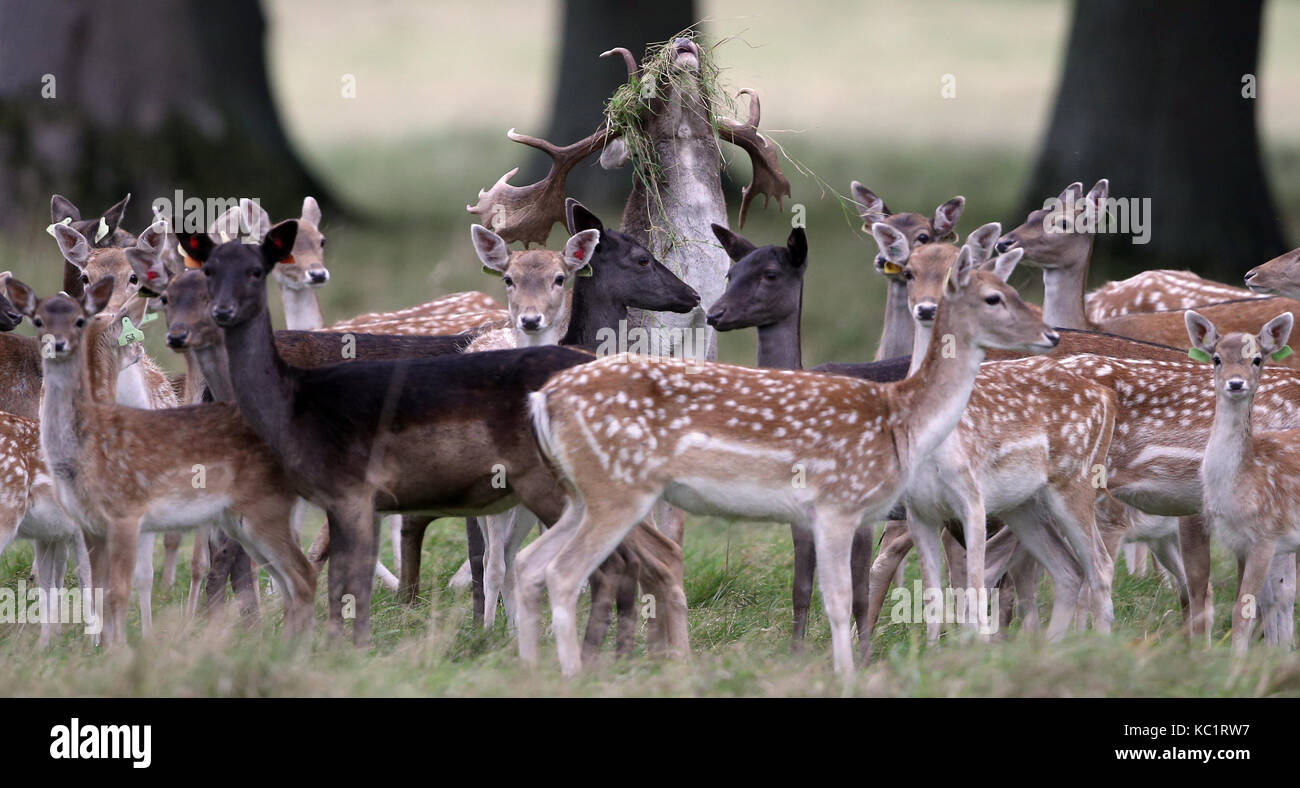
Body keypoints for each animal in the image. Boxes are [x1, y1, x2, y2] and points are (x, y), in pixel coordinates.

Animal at [522, 244, 1060, 676]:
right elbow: (836, 597)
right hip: (616, 490)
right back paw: (574, 674)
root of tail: (543, 399)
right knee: (563, 573)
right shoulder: (838, 503)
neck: (900, 419)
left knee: (530, 564)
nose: (1051, 334)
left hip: (580, 495)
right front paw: (842, 672)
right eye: (994, 298)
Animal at [1190, 310, 1300, 655]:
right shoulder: (1237, 542)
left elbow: (1244, 608)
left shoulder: (1267, 536)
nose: (1236, 383)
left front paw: (1236, 659)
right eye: (1216, 358)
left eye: (1257, 359)